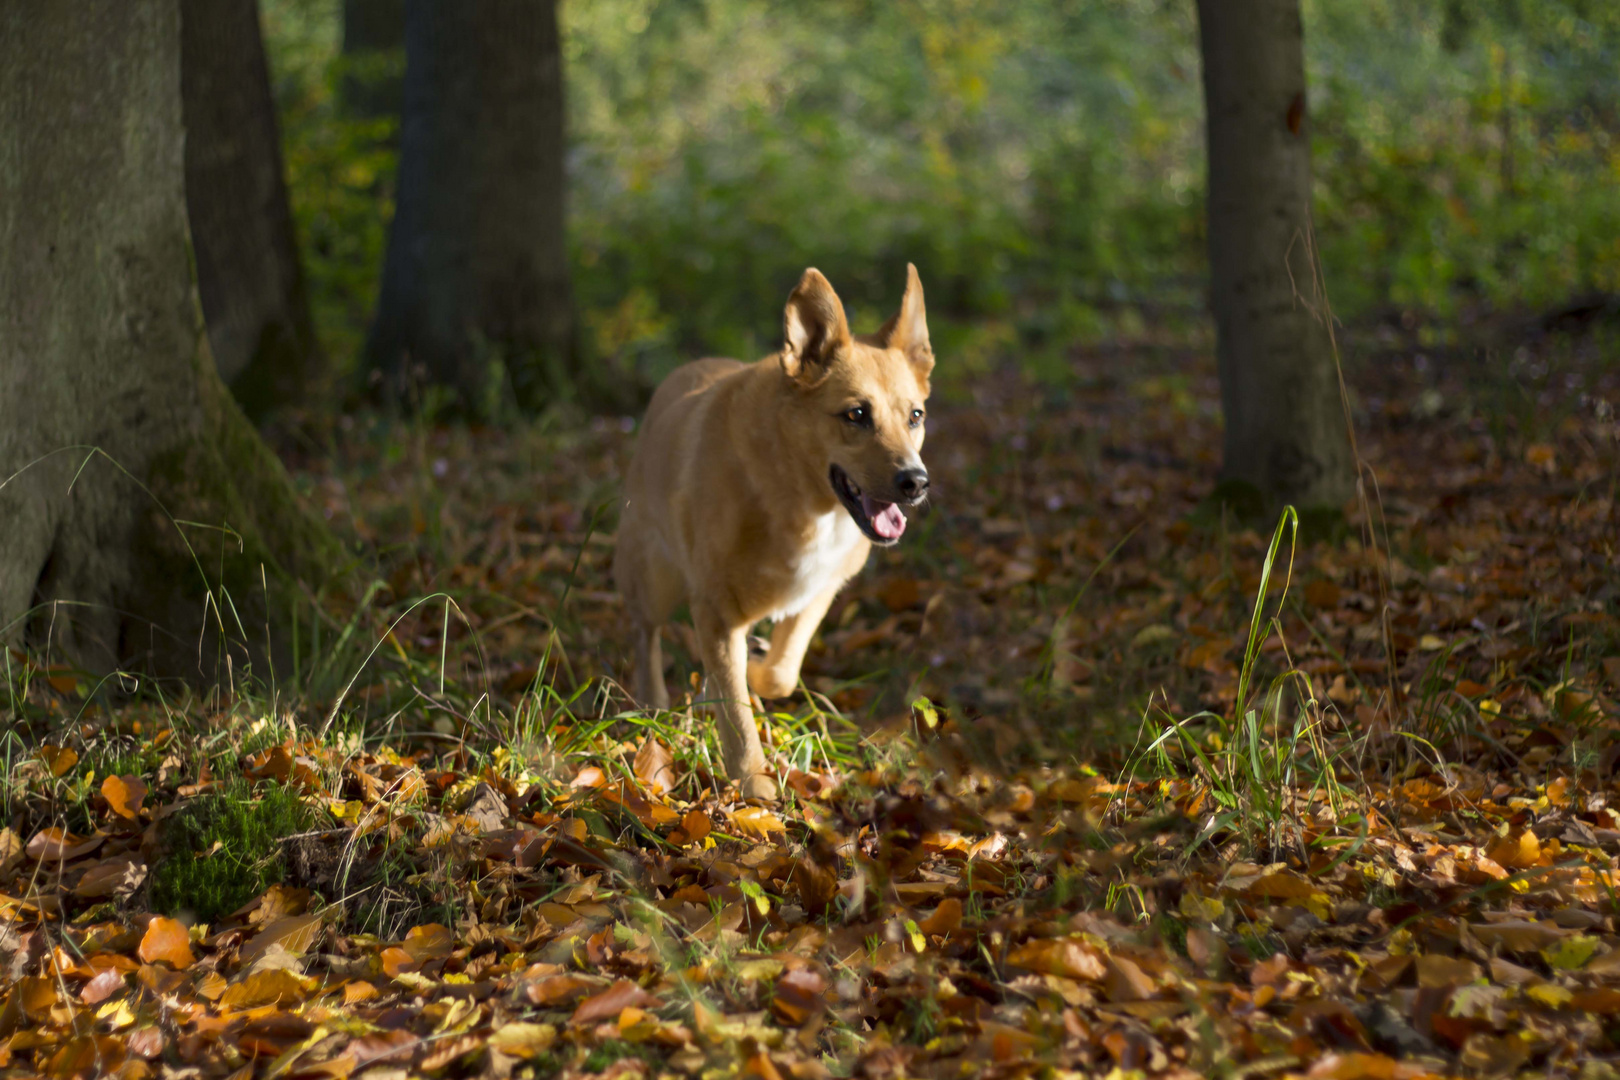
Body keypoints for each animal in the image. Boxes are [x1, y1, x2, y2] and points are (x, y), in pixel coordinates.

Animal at [609, 265, 939, 799]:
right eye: (857, 414)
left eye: (915, 416)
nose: (916, 482)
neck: (800, 500)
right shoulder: (715, 610)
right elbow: (737, 712)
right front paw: (753, 784)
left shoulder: (821, 589)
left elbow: (780, 673)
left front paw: (760, 674)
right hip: (652, 578)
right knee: (646, 632)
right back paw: (653, 700)